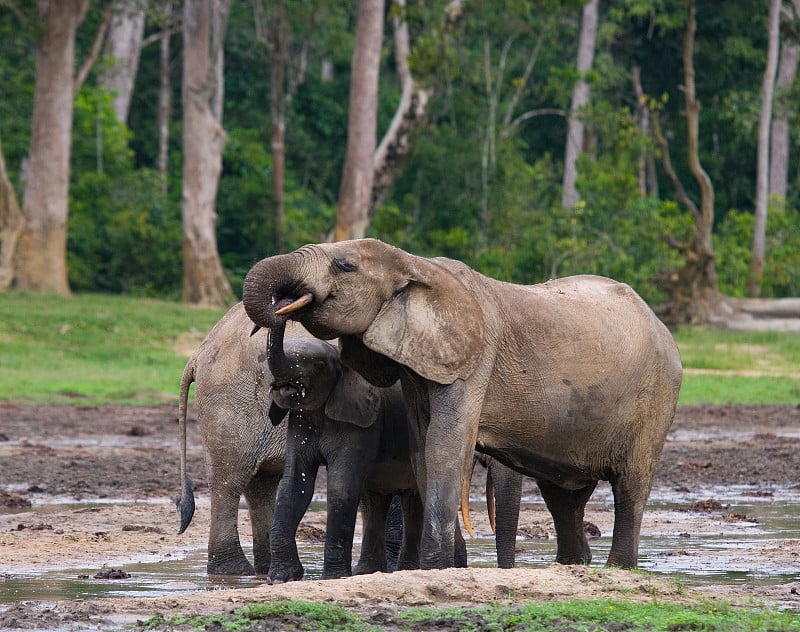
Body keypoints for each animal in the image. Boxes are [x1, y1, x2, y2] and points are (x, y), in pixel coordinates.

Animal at [242, 236, 680, 568]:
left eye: (345, 266)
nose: (285, 302)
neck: (415, 264)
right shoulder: (419, 367)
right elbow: (422, 450)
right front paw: (444, 566)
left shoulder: (473, 360)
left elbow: (443, 445)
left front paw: (434, 568)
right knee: (562, 496)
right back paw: (572, 566)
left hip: (656, 397)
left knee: (630, 488)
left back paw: (618, 568)